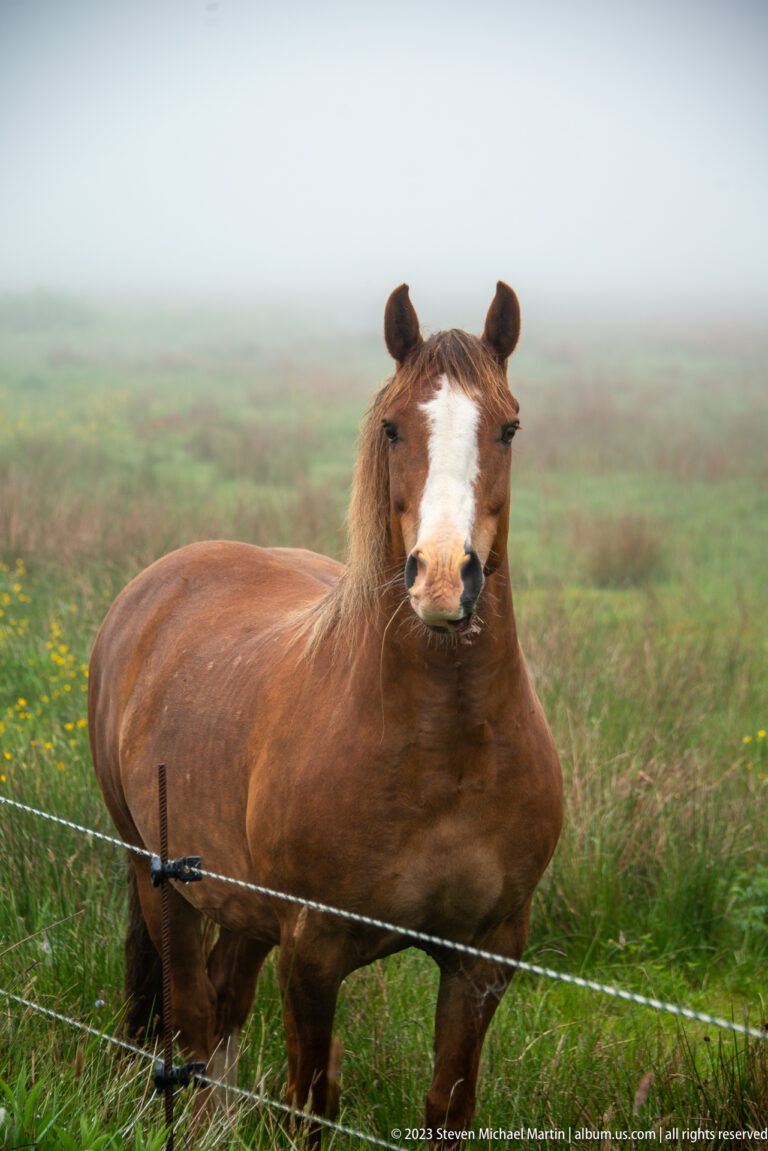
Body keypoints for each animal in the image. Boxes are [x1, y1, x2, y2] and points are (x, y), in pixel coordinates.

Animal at [89, 282, 563, 1143]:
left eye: (509, 426)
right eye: (393, 426)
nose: (442, 580)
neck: (442, 750)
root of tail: (158, 582)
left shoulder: (486, 956)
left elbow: (448, 1106)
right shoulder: (312, 951)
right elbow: (309, 1104)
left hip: (241, 907)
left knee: (220, 1009)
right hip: (160, 879)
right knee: (189, 1021)